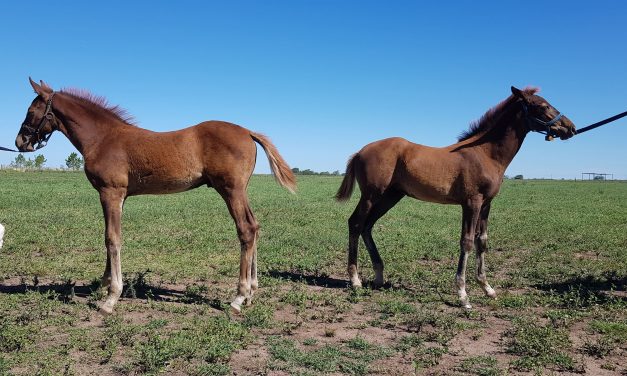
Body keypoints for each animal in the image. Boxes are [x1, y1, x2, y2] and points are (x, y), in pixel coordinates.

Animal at [14, 78, 296, 314]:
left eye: (31, 111)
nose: (20, 142)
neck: (103, 138)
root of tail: (248, 131)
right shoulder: (118, 197)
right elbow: (109, 236)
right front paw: (104, 284)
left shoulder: (110, 192)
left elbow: (112, 239)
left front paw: (111, 298)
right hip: (239, 191)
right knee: (255, 226)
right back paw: (251, 292)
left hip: (231, 190)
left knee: (246, 229)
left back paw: (239, 296)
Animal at [338, 87, 580, 308]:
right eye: (543, 106)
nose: (570, 127)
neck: (485, 153)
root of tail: (359, 152)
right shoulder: (471, 202)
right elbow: (467, 241)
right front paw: (463, 295)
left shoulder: (486, 204)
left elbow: (482, 241)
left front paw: (487, 288)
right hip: (371, 195)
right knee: (356, 223)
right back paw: (355, 280)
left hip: (391, 197)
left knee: (367, 226)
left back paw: (379, 276)